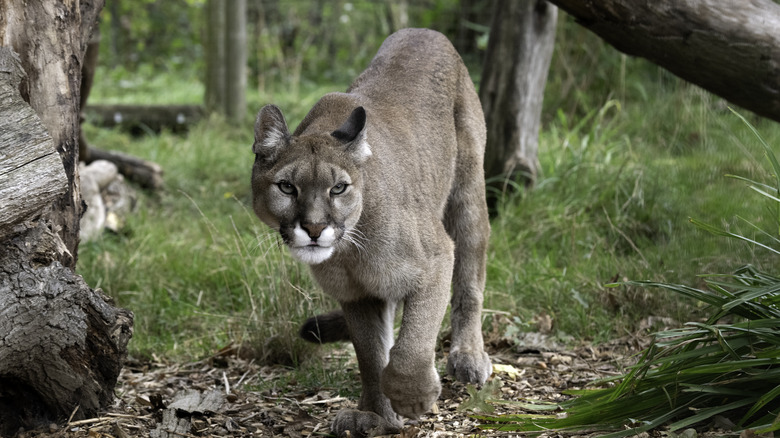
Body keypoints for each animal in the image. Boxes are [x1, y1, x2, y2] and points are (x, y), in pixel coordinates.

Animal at [253, 29, 490, 436]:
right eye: (286, 188)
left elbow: (413, 343)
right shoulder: (357, 294)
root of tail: (425, 32)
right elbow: (370, 356)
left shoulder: (437, 257)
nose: (314, 227)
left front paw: (413, 398)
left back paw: (469, 357)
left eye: (338, 188)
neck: (351, 252)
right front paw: (378, 416)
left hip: (468, 195)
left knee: (470, 283)